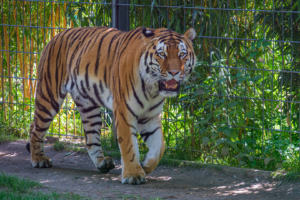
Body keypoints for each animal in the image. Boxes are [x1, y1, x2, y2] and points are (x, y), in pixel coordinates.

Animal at [28, 25, 197, 185]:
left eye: (182, 54)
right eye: (162, 54)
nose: (174, 72)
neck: (153, 89)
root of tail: (55, 36)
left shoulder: (150, 116)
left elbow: (159, 147)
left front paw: (146, 165)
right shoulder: (124, 111)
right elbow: (129, 145)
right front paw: (133, 175)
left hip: (89, 106)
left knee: (91, 138)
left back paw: (102, 163)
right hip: (49, 97)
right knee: (35, 128)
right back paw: (39, 159)